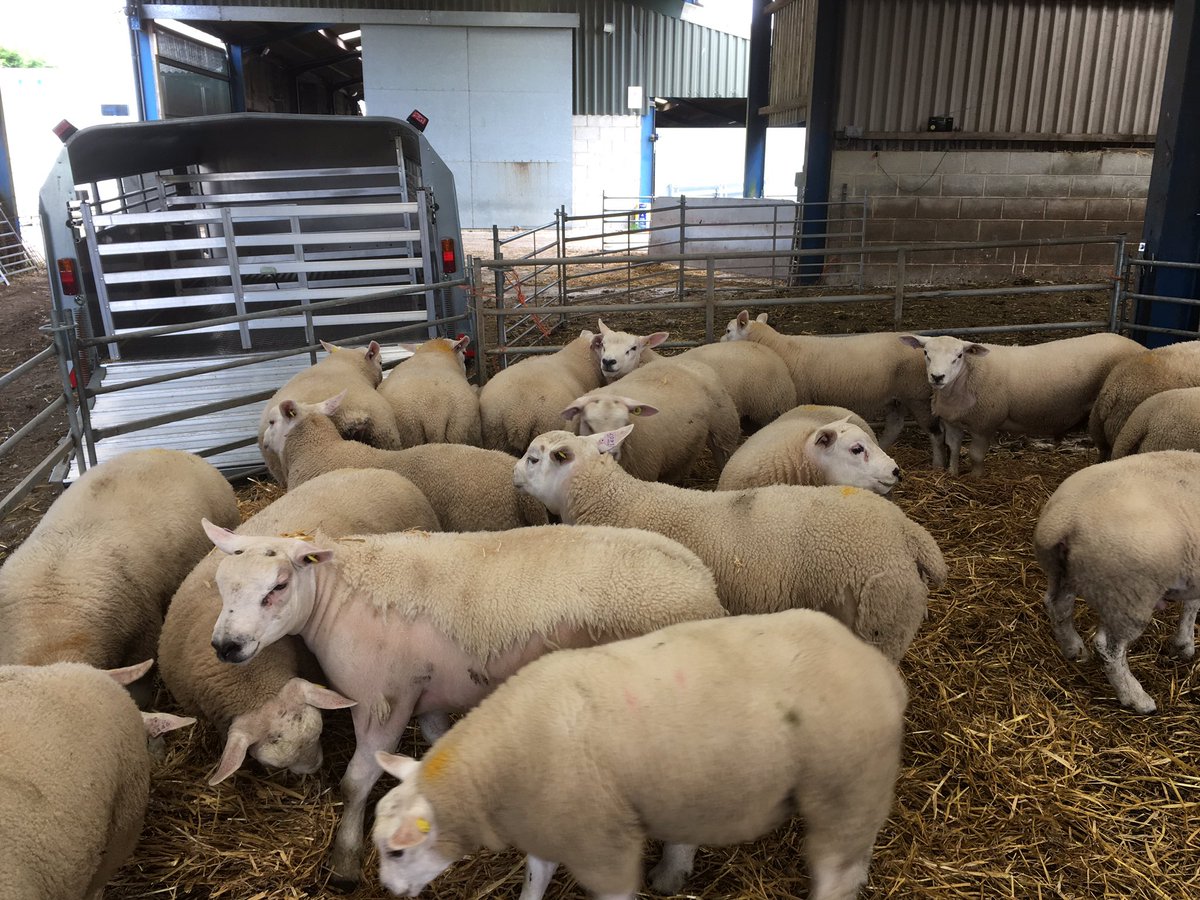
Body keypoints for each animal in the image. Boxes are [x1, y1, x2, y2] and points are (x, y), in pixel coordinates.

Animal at [202, 520, 725, 887]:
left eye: (278, 586)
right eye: (222, 586)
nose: (226, 646)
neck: (339, 600)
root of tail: (703, 586)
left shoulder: (381, 699)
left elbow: (356, 782)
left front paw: (345, 863)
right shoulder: (428, 692)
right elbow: (435, 745)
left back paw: (670, 874)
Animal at [371, 608, 907, 900]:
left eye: (397, 850)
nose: (390, 891)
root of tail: (878, 667)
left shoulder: (599, 842)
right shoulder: (550, 819)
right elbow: (535, 877)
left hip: (847, 784)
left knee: (836, 874)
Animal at [723, 310, 945, 466]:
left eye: (728, 330)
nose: (719, 340)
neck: (780, 347)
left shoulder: (800, 396)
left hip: (917, 394)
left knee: (935, 431)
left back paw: (938, 464)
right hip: (896, 397)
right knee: (895, 425)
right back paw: (880, 446)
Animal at [901, 332, 1143, 477]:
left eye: (959, 355)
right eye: (925, 353)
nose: (937, 377)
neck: (967, 377)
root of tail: (1138, 344)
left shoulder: (984, 424)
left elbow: (975, 456)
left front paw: (975, 478)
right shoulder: (953, 420)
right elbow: (953, 448)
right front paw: (952, 474)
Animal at [1034, 450, 1200, 714]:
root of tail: (1062, 518)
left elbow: (1193, 604)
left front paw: (1183, 644)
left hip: (1067, 572)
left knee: (1057, 607)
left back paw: (1074, 650)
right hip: (1129, 593)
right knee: (1108, 647)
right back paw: (1136, 698)